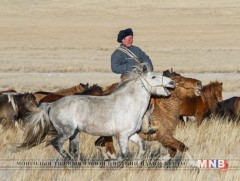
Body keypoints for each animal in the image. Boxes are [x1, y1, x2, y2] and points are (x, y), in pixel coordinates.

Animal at [18, 63, 175, 160]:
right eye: (153, 76)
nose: (172, 82)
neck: (129, 104)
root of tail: (51, 105)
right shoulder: (122, 136)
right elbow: (124, 155)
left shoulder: (130, 134)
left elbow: (142, 146)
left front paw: (137, 162)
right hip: (66, 131)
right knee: (56, 143)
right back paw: (69, 160)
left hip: (75, 134)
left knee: (73, 150)